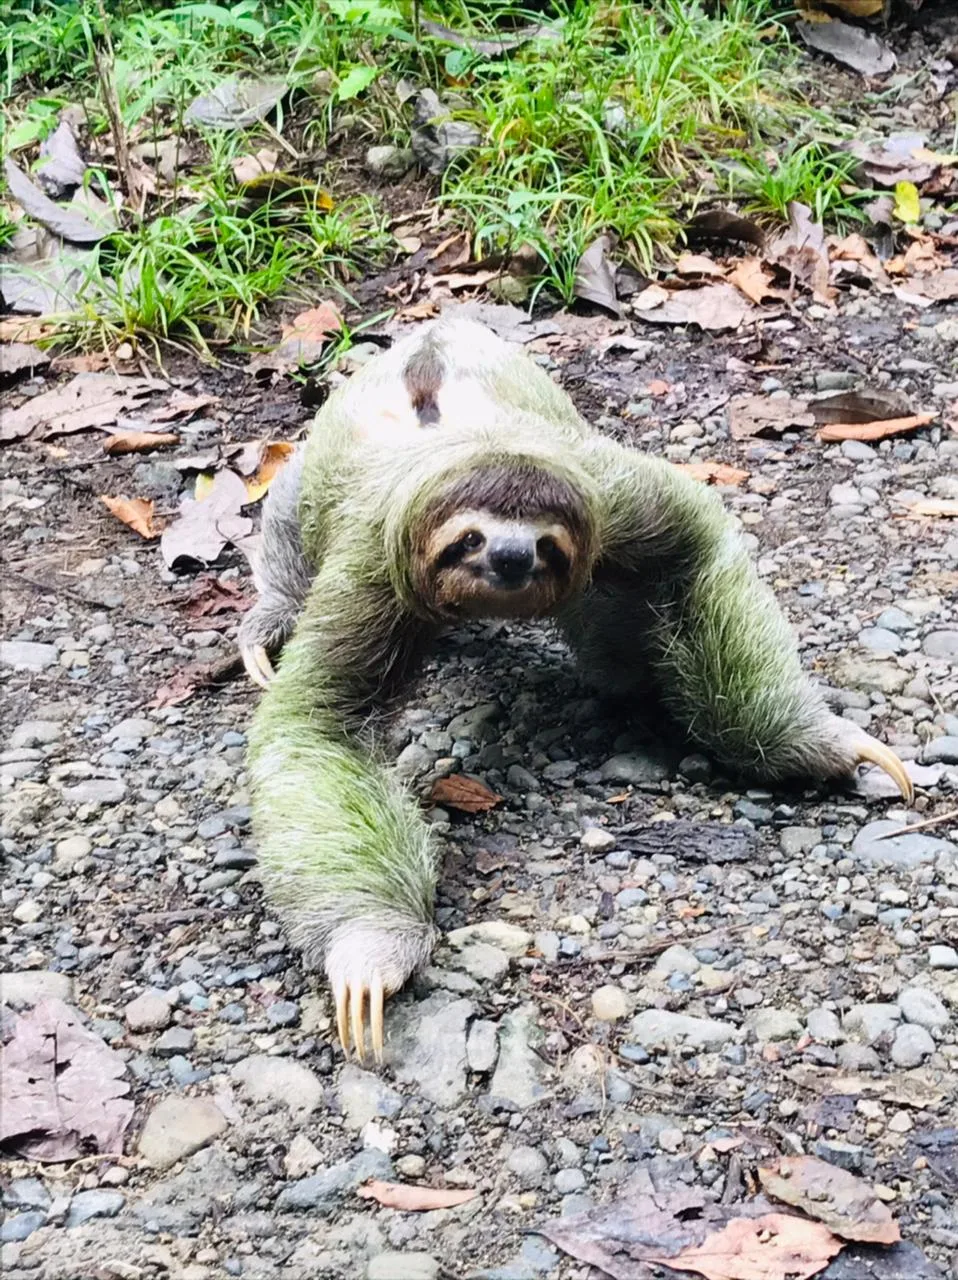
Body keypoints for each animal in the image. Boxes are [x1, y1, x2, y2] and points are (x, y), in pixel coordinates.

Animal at [239, 317, 913, 1064]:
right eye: (468, 538)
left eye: (546, 542)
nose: (511, 556)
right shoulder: (376, 568)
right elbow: (317, 721)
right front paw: (368, 951)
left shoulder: (614, 503)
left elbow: (698, 545)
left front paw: (816, 739)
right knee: (287, 501)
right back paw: (269, 618)